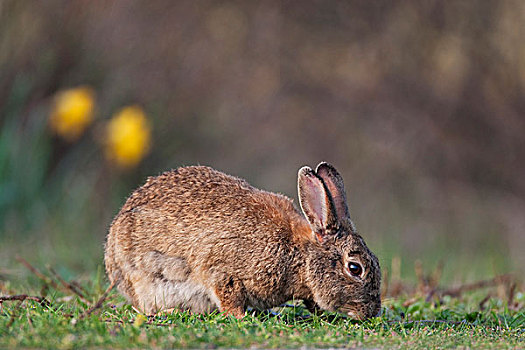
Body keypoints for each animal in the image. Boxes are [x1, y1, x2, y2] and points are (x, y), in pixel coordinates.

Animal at [103, 163, 380, 318]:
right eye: (355, 268)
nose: (372, 313)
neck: (300, 256)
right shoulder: (223, 271)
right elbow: (228, 294)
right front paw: (240, 317)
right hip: (142, 277)